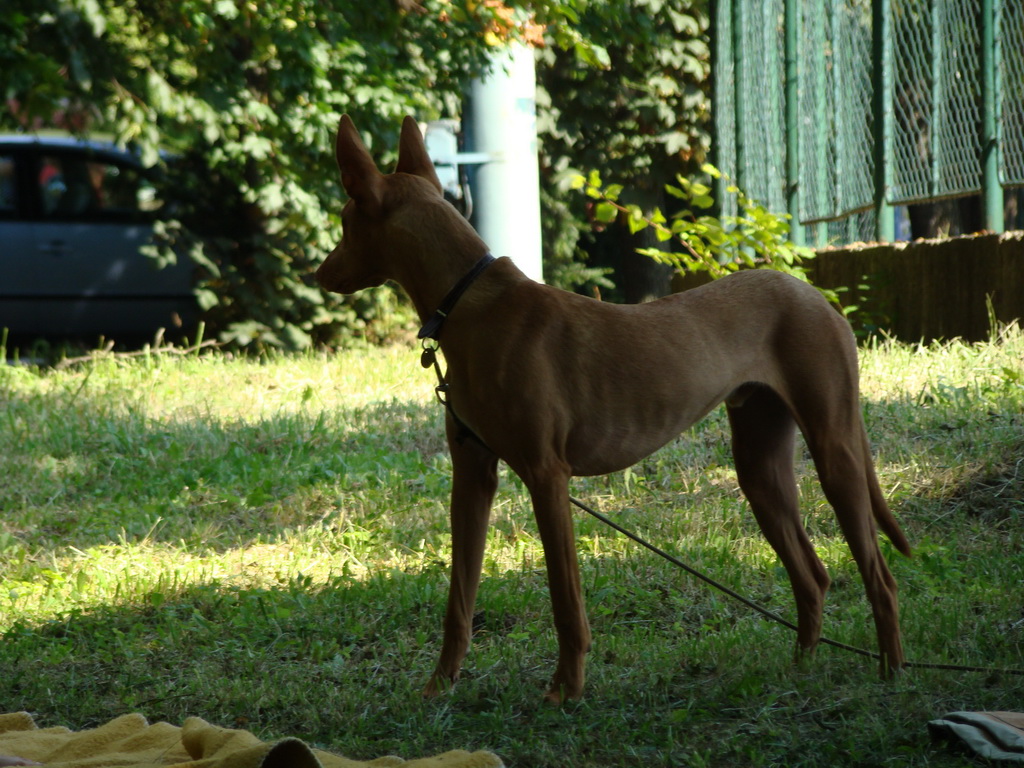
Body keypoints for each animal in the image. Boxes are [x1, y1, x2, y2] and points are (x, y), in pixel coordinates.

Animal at [317, 112, 913, 704]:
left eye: (345, 221)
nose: (317, 275)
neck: (466, 301)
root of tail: (817, 296)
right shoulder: (472, 476)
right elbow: (458, 600)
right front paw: (439, 687)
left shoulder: (546, 475)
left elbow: (566, 602)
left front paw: (565, 691)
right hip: (760, 467)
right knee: (813, 575)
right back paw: (800, 670)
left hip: (834, 449)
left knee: (880, 577)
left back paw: (891, 673)